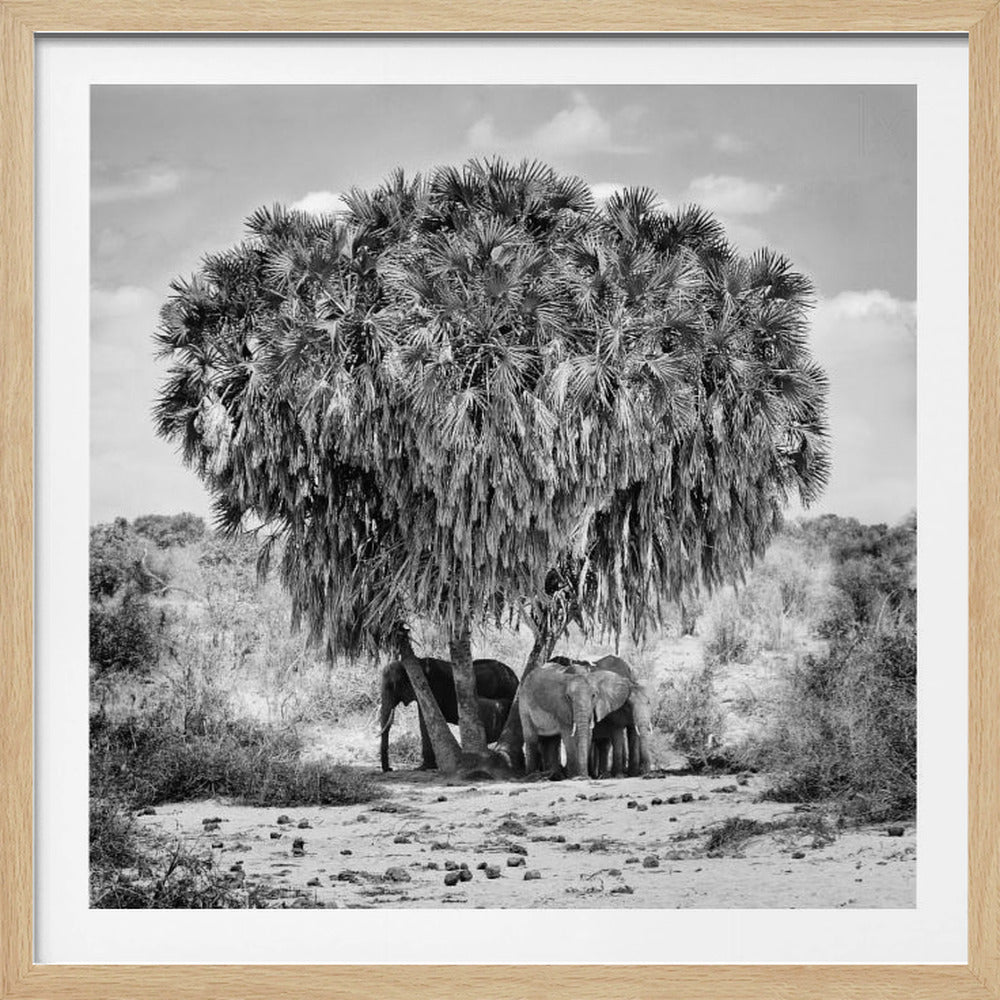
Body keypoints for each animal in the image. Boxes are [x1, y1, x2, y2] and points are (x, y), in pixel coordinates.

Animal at [379, 655, 518, 771]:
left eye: (392, 686)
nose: (390, 769)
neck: (416, 664)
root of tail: (515, 677)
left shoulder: (432, 688)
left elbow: (425, 722)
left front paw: (423, 768)